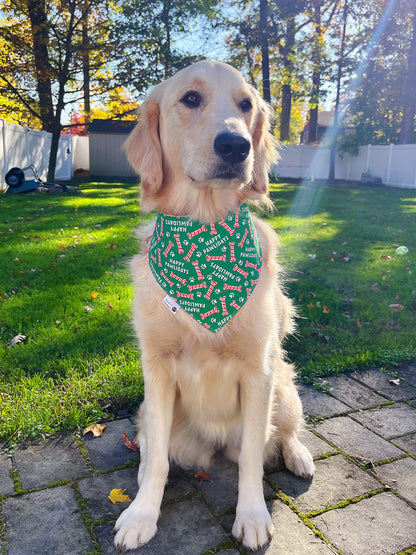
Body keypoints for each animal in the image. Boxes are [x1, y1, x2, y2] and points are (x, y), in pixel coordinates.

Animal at [114, 60, 316, 552]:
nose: (236, 145)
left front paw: (253, 516)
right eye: (190, 99)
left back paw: (299, 454)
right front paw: (141, 515)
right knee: (154, 446)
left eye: (246, 104)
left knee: (284, 434)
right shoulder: (157, 369)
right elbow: (157, 461)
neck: (205, 238)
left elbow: (252, 460)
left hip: (284, 389)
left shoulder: (259, 369)